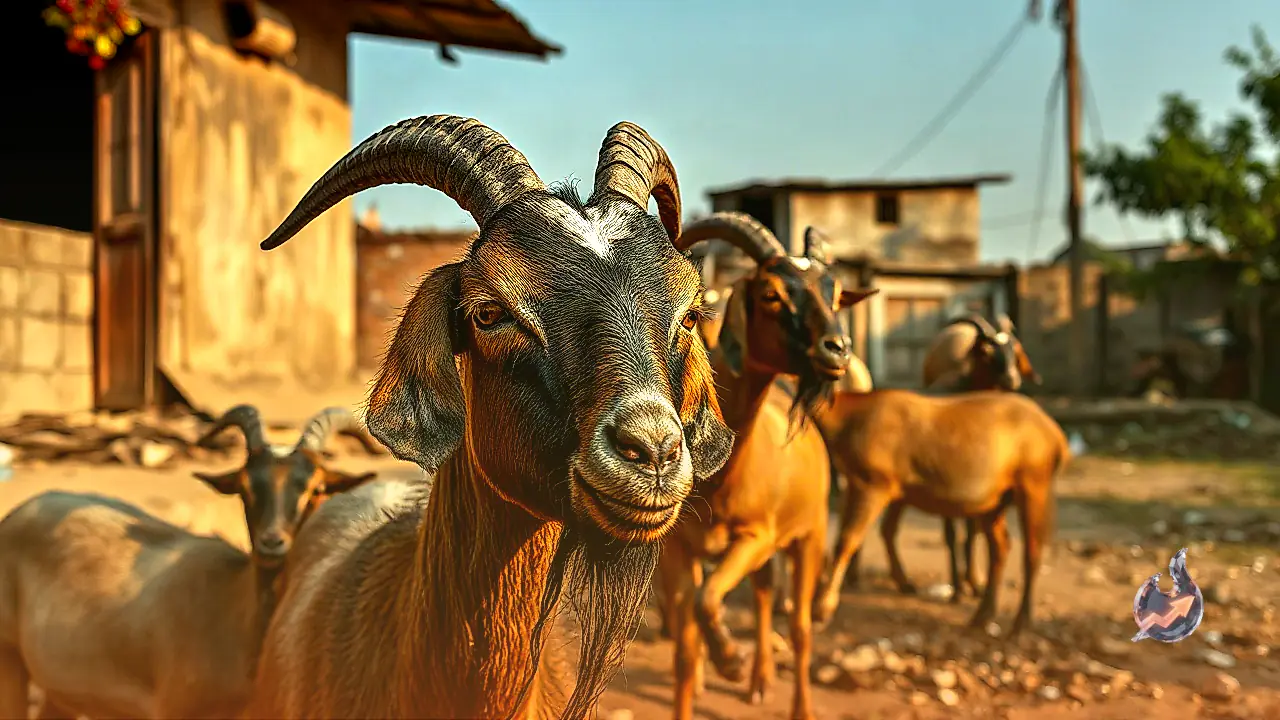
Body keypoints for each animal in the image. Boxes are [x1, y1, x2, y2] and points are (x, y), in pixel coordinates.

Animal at [0, 405, 379, 720]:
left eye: (317, 489)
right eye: (244, 487)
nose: (272, 543)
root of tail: (18, 514)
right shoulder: (175, 707)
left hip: (59, 690)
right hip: (10, 661)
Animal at [653, 213, 875, 720]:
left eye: (836, 293)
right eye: (771, 294)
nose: (838, 350)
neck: (720, 480)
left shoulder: (756, 536)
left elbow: (709, 599)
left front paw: (730, 661)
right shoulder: (679, 549)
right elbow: (685, 644)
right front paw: (717, 666)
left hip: (808, 536)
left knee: (796, 624)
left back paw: (792, 701)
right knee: (761, 595)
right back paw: (753, 678)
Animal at [811, 389, 1067, 636]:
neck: (846, 421)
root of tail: (1057, 437)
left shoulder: (875, 483)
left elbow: (847, 540)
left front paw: (822, 609)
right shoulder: (866, 485)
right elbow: (861, 535)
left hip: (1034, 484)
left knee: (1032, 551)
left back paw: (1020, 624)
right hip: (994, 500)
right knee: (1001, 547)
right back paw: (981, 617)